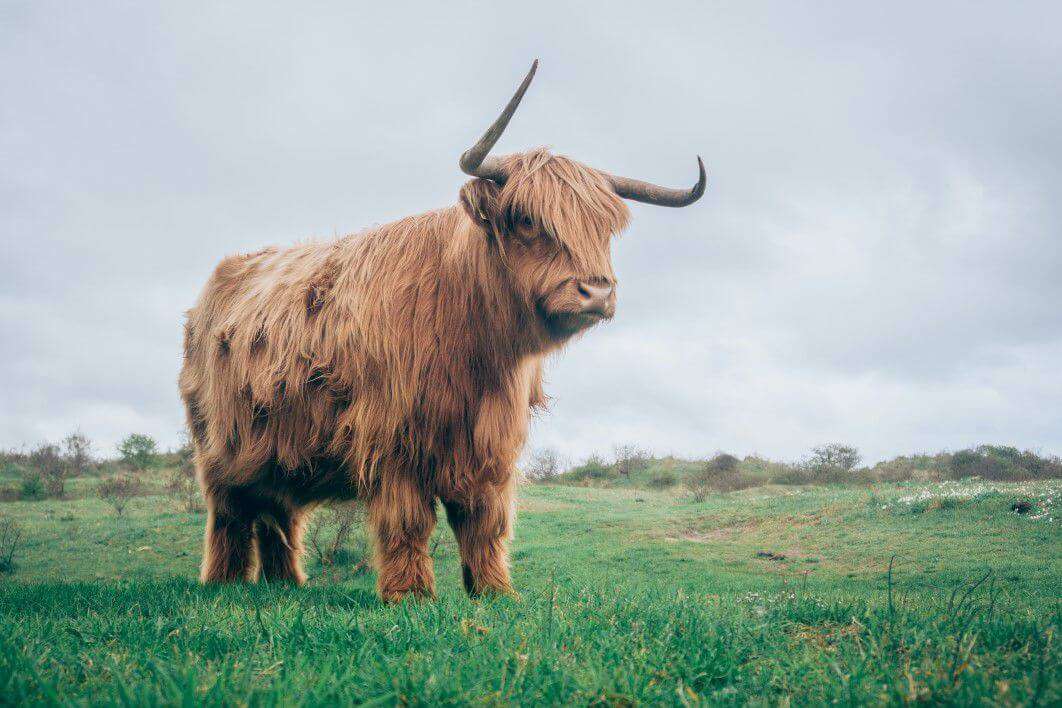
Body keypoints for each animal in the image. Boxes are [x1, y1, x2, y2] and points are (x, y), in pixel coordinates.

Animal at [179, 63, 709, 602]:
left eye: (603, 229)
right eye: (526, 219)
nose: (597, 292)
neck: (476, 347)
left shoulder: (491, 444)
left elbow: (484, 522)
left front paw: (495, 592)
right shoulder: (393, 437)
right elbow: (408, 521)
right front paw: (409, 595)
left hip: (277, 449)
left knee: (277, 513)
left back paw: (286, 583)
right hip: (219, 447)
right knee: (229, 514)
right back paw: (223, 583)